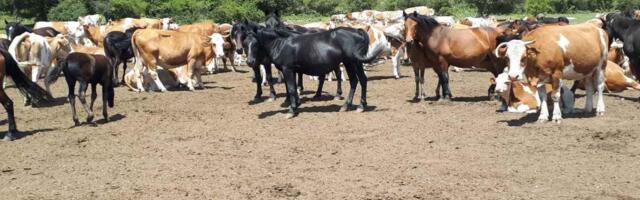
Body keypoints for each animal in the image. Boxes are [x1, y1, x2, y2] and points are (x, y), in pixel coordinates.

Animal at [248, 27, 382, 118]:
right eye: (245, 42)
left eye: (255, 43)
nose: (250, 62)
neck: (281, 44)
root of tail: (357, 31)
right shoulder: (292, 71)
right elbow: (293, 88)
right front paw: (295, 106)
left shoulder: (288, 69)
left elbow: (291, 89)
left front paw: (291, 110)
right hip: (352, 63)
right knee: (358, 81)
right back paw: (351, 106)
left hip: (353, 62)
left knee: (359, 81)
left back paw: (357, 106)